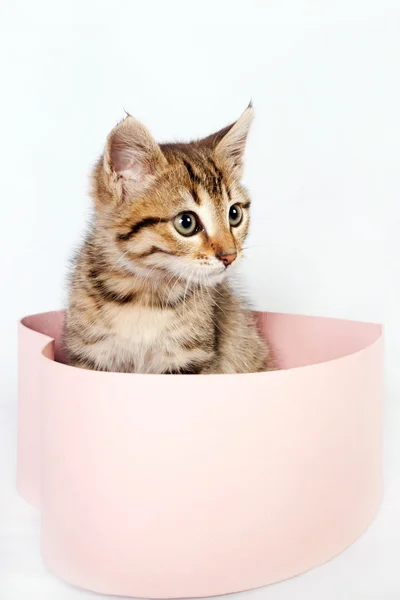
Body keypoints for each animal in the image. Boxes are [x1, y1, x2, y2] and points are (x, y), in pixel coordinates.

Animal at [63, 105, 276, 372]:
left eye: (234, 214)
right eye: (186, 223)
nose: (230, 256)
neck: (144, 294)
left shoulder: (191, 360)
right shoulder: (88, 354)